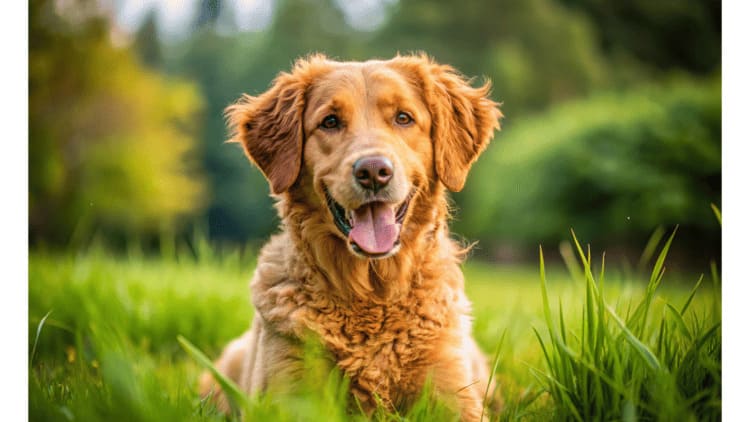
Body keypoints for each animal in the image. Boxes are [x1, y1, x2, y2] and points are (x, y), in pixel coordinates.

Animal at [200, 54, 506, 420]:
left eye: (403, 118)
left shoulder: (454, 393)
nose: (373, 171)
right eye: (330, 122)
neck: (371, 294)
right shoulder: (286, 394)